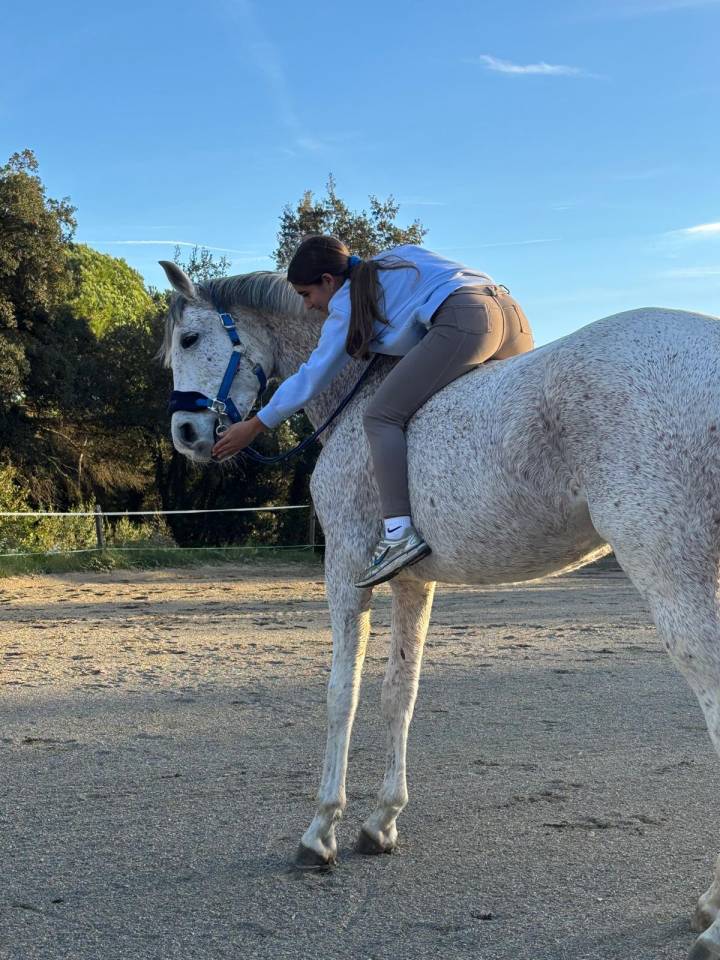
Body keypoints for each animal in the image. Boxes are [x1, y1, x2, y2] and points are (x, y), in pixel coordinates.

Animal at [159, 260, 720, 960]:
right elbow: (401, 693)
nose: (186, 436)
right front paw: (380, 823)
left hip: (672, 575)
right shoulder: (412, 585)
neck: (357, 395)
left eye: (189, 339)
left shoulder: (346, 570)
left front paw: (321, 831)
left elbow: (342, 695)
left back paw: (714, 920)